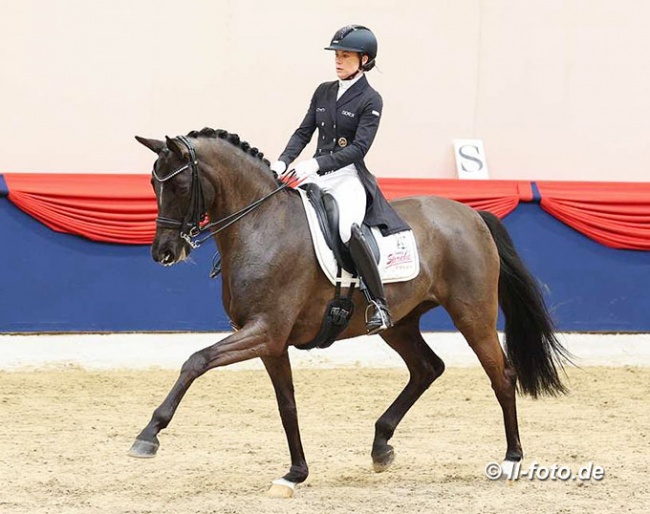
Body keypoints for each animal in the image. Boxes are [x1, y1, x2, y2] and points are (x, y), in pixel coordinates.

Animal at [130, 126, 568, 494]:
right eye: (152, 183)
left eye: (180, 184)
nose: (163, 252)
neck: (262, 225)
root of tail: (472, 214)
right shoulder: (271, 342)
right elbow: (287, 405)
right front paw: (295, 474)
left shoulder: (265, 331)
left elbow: (196, 360)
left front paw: (148, 435)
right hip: (399, 324)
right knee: (427, 368)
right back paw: (381, 445)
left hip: (473, 315)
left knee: (502, 375)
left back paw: (511, 459)